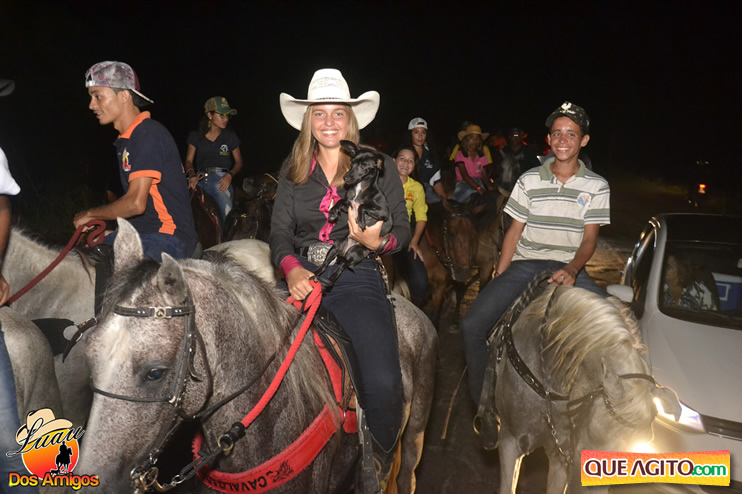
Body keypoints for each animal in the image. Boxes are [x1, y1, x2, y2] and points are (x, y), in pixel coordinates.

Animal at [314, 140, 392, 288]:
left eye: (363, 166)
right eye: (352, 163)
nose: (345, 177)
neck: (360, 189)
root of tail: (345, 251)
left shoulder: (383, 212)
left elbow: (362, 206)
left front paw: (361, 221)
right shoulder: (348, 205)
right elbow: (340, 202)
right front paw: (332, 214)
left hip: (355, 253)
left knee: (343, 266)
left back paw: (328, 280)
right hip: (335, 247)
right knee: (327, 264)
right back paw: (316, 275)